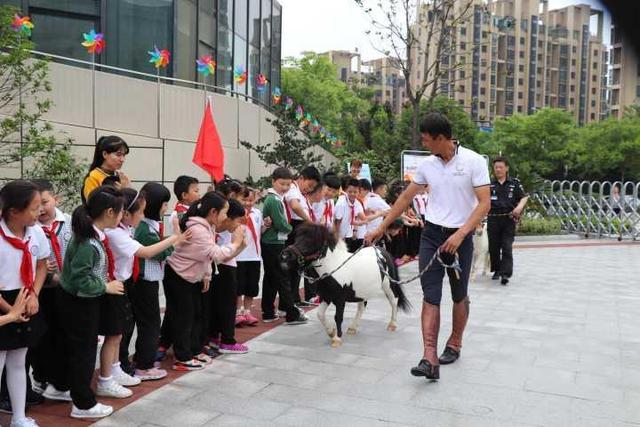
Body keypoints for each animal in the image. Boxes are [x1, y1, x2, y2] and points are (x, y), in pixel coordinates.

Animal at [282, 224, 412, 348]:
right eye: (297, 238)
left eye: (310, 241)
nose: (285, 256)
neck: (332, 267)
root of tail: (383, 251)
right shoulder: (326, 297)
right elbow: (320, 314)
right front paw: (331, 332)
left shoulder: (340, 299)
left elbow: (338, 317)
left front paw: (337, 339)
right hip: (362, 291)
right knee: (362, 307)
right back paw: (353, 328)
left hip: (388, 286)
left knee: (394, 301)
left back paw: (392, 325)